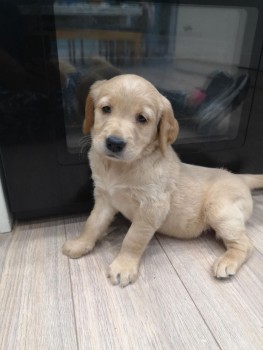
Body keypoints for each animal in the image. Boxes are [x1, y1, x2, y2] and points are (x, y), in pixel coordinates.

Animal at [63, 74, 263, 288]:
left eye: (142, 118)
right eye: (106, 109)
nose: (114, 143)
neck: (121, 167)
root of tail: (239, 177)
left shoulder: (152, 207)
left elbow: (133, 238)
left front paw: (123, 266)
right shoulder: (104, 197)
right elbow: (92, 223)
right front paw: (80, 243)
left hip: (219, 209)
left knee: (246, 243)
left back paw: (227, 261)